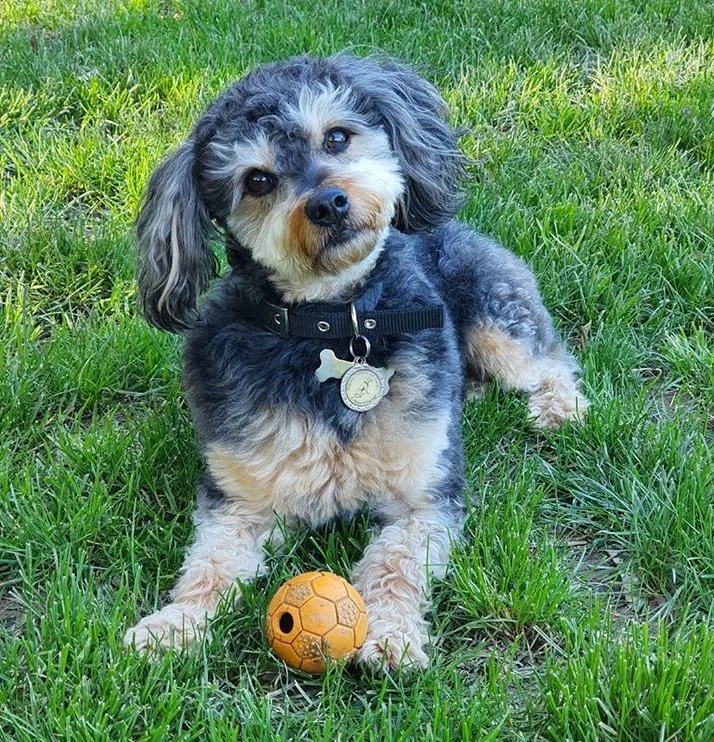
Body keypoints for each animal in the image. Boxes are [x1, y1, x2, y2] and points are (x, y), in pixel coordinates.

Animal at [122, 52, 588, 668]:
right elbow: (210, 565)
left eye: (337, 137)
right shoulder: (239, 501)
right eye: (258, 180)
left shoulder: (424, 497)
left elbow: (396, 564)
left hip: (497, 320)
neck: (330, 328)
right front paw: (173, 626)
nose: (328, 203)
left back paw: (559, 409)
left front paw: (389, 633)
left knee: (550, 360)